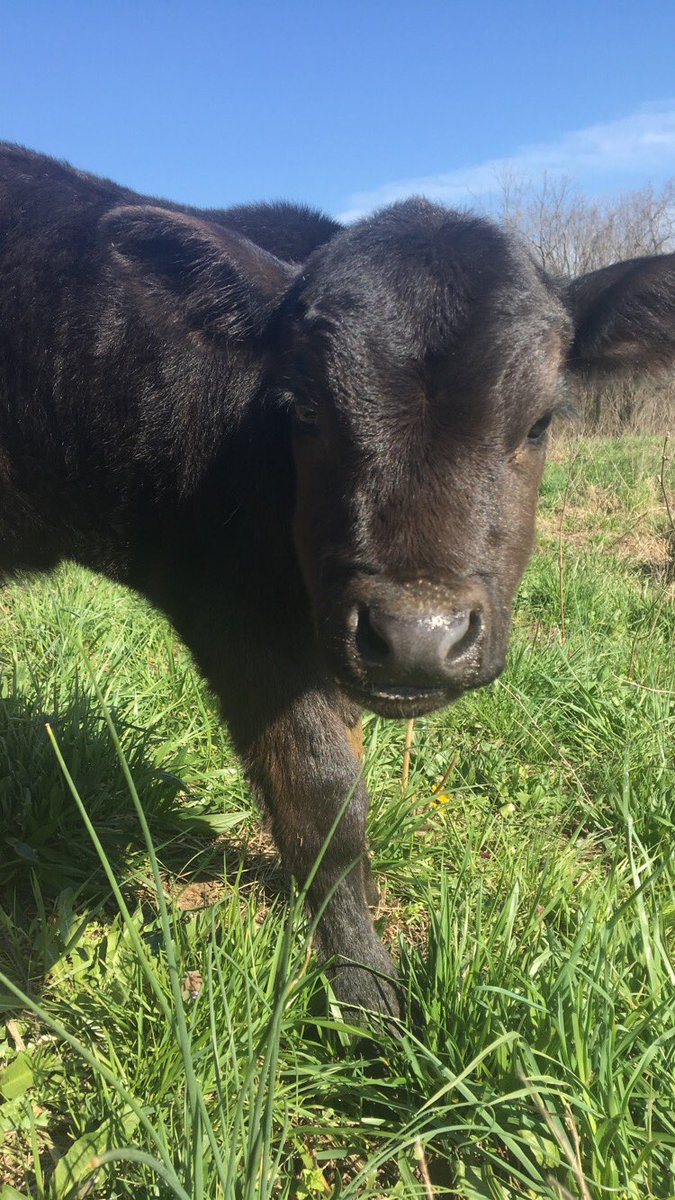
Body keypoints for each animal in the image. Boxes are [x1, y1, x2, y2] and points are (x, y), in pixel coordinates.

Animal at [1, 142, 674, 1019]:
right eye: (306, 412)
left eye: (539, 422)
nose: (418, 639)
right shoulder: (236, 614)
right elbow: (325, 802)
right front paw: (366, 996)